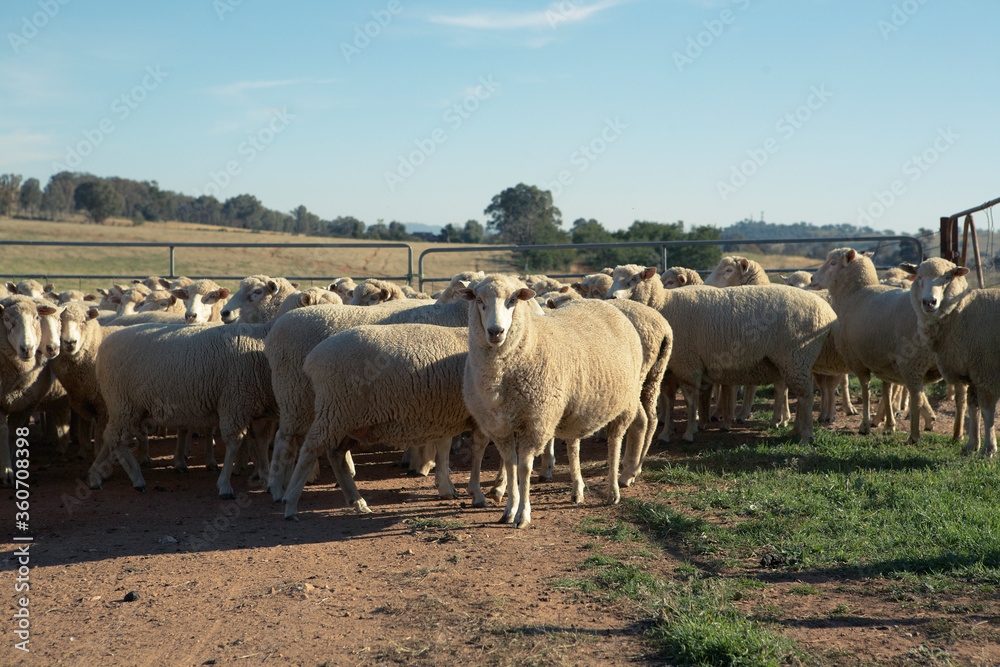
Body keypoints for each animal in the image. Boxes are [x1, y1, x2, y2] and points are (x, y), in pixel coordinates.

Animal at [0, 297, 54, 484]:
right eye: (7, 319)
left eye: (36, 318)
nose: (27, 349)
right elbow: (3, 432)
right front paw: (6, 471)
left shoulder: (26, 403)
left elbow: (14, 433)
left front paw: (16, 468)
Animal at [280, 324, 493, 519]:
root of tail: (312, 358)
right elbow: (478, 449)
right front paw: (480, 493)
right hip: (336, 408)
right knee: (311, 449)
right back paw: (290, 504)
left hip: (353, 421)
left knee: (336, 453)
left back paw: (357, 502)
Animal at [607, 265, 836, 445]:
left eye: (633, 279)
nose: (610, 297)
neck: (665, 306)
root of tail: (828, 312)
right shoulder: (669, 369)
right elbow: (668, 402)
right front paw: (664, 435)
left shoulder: (688, 364)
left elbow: (690, 400)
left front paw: (689, 433)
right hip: (791, 363)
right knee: (800, 395)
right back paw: (795, 431)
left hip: (796, 357)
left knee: (805, 396)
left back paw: (806, 436)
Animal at [809, 248, 951, 443]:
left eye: (833, 263)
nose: (812, 279)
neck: (855, 293)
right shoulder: (883, 360)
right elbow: (886, 390)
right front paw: (889, 425)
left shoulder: (858, 359)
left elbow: (866, 390)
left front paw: (865, 424)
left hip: (914, 360)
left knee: (917, 395)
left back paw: (915, 434)